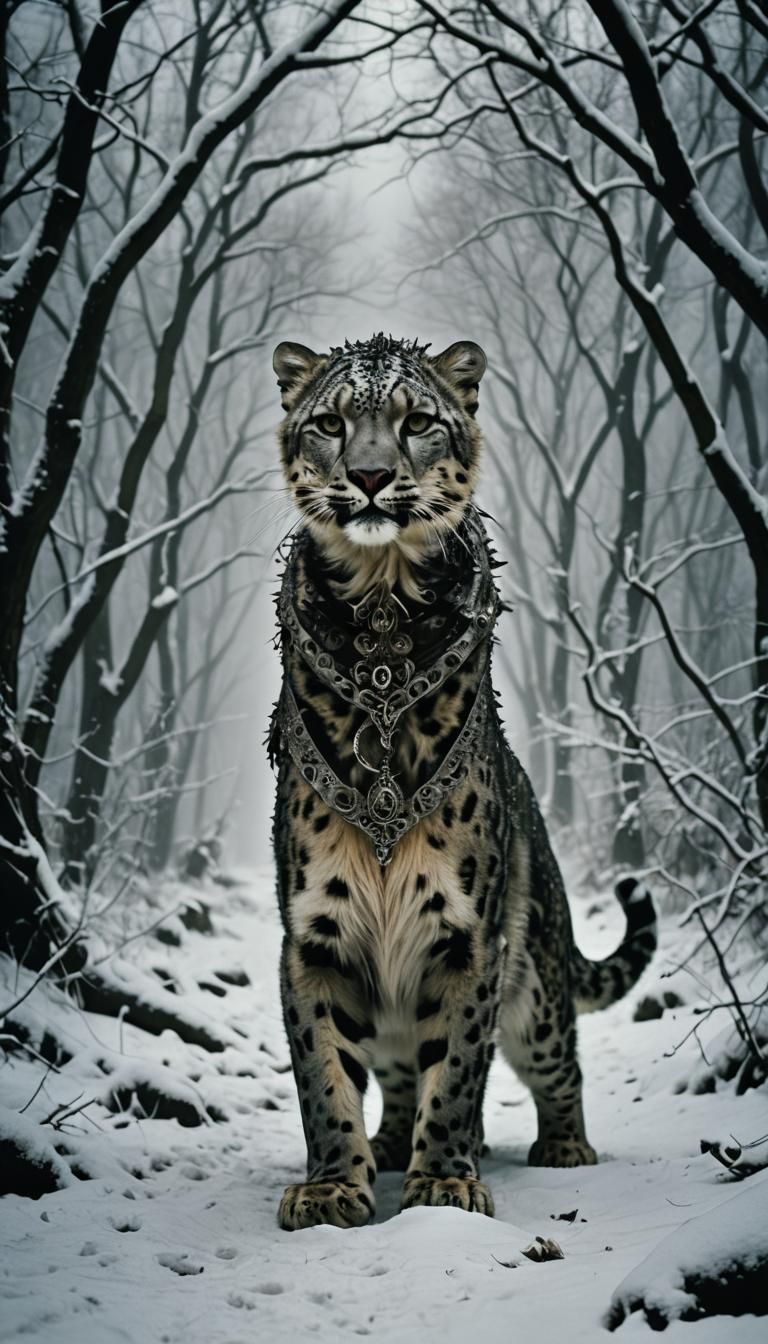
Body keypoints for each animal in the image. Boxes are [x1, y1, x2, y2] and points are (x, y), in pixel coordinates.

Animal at [268, 333, 656, 1231]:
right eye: (331, 423)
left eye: (416, 421)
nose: (371, 476)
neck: (380, 616)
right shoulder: (313, 938)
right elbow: (324, 1078)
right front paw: (333, 1187)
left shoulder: (467, 936)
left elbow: (457, 1076)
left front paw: (445, 1184)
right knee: (398, 1072)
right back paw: (387, 1145)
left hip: (537, 986)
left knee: (556, 1062)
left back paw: (562, 1147)